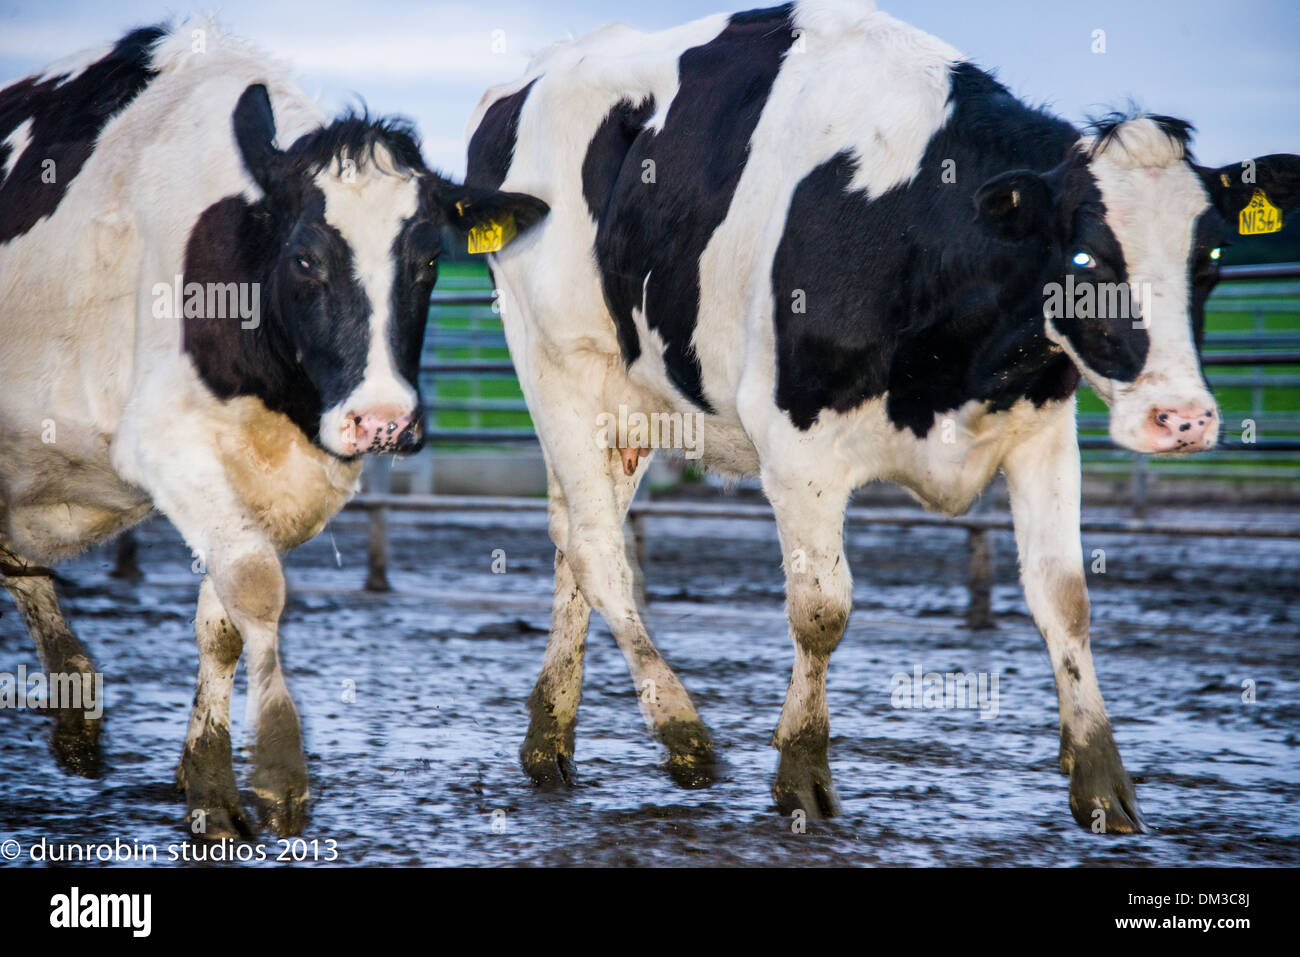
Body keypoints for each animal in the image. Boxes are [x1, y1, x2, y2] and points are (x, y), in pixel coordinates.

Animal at [0, 18, 547, 837]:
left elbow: (223, 616)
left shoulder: (292, 478)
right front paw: (281, 771)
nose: (383, 420)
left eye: (427, 262)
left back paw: (76, 707)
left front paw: (208, 784)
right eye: (306, 259)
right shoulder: (165, 442)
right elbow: (257, 588)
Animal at [466, 0, 1300, 832]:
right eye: (1086, 258)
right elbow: (821, 610)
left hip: (632, 407)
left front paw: (1101, 780)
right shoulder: (796, 446)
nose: (1181, 417)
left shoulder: (1042, 432)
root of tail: (529, 78)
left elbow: (1065, 599)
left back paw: (549, 738)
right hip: (558, 369)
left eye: (1211, 259)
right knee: (599, 550)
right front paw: (801, 772)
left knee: (573, 541)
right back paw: (682, 733)